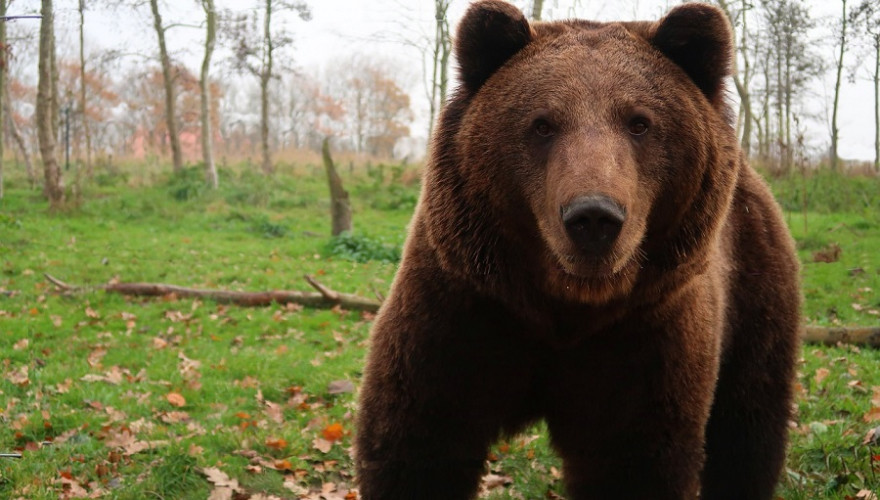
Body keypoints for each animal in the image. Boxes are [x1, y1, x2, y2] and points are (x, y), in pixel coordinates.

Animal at [354, 1, 800, 498]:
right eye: (542, 123)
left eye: (640, 122)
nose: (593, 217)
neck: (565, 309)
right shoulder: (465, 311)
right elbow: (418, 444)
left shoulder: (643, 341)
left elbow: (635, 462)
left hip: (755, 294)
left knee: (748, 430)